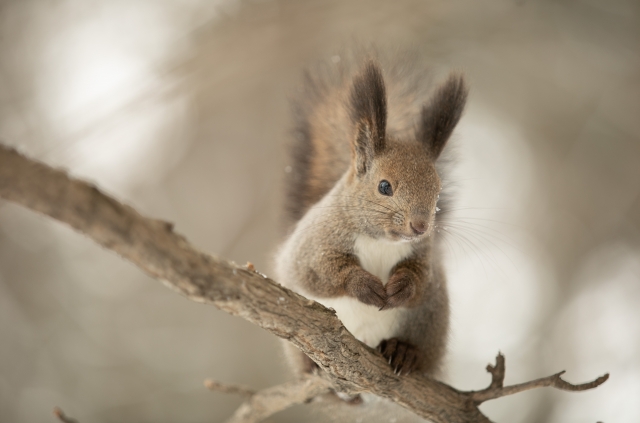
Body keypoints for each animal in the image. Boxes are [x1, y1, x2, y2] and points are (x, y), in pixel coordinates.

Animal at [272, 51, 468, 380]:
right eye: (384, 186)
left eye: (438, 193)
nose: (420, 226)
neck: (381, 241)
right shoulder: (313, 244)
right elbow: (320, 271)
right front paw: (363, 285)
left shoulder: (424, 256)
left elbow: (420, 281)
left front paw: (402, 286)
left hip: (429, 324)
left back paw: (404, 352)